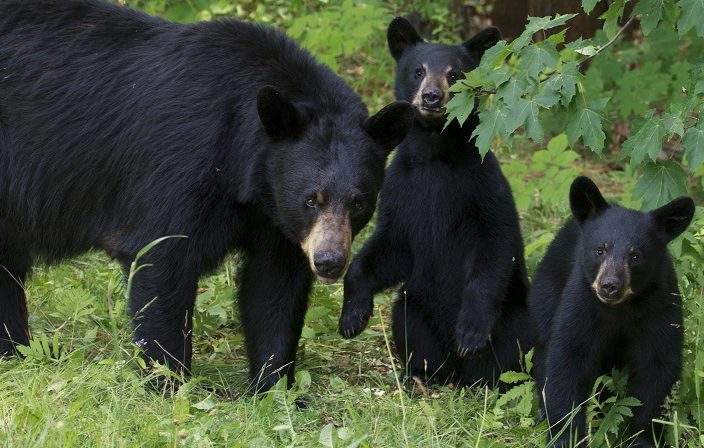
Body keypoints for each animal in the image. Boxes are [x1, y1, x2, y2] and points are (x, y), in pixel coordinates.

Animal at [0, 0, 413, 393]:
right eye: (311, 198)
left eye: (359, 202)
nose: (329, 261)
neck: (242, 167)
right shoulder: (178, 166)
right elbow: (160, 260)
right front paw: (170, 382)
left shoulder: (274, 214)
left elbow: (274, 286)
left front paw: (276, 388)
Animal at [338, 17, 533, 387]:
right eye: (418, 71)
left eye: (454, 74)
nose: (431, 96)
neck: (433, 154)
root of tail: (460, 376)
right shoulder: (400, 188)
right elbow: (390, 246)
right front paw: (352, 316)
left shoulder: (483, 186)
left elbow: (496, 243)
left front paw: (471, 332)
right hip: (416, 304)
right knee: (409, 323)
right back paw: (420, 374)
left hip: (514, 313)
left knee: (514, 347)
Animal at [529, 176, 695, 448]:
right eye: (600, 249)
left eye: (635, 255)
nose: (610, 285)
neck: (621, 309)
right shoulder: (582, 303)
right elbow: (567, 360)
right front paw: (567, 436)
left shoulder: (660, 305)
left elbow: (658, 367)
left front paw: (642, 438)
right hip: (546, 294)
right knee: (544, 349)